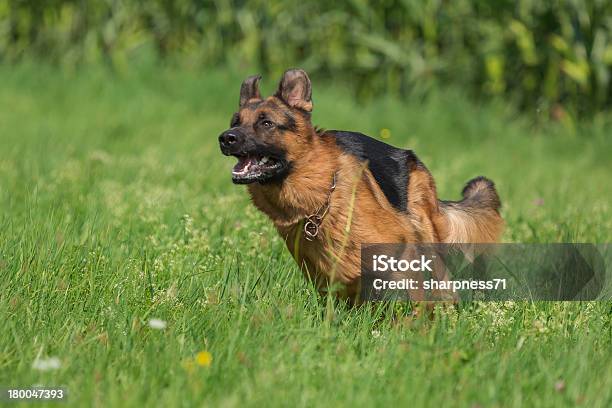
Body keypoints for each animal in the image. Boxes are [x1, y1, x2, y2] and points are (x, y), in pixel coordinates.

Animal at [219, 69, 502, 300]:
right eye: (235, 122)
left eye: (266, 123)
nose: (225, 138)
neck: (321, 197)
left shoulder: (399, 248)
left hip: (425, 231)